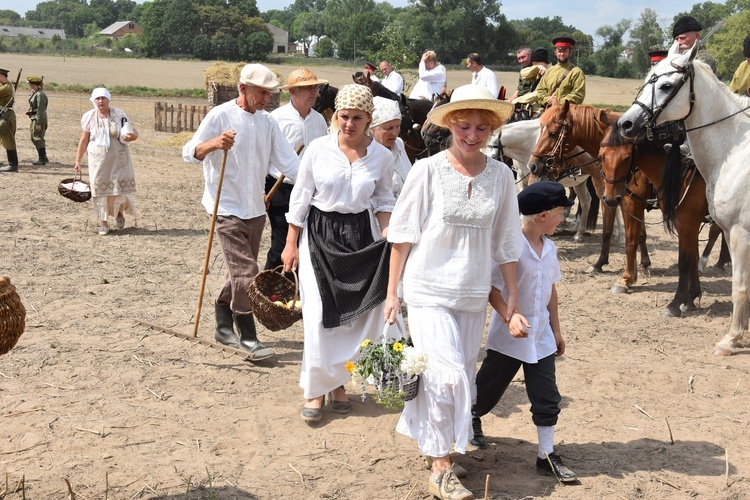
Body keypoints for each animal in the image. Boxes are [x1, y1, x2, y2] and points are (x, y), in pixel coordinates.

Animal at [620, 43, 750, 356]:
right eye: (647, 79)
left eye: (667, 86)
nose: (626, 123)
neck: (733, 152)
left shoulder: (739, 232)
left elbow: (739, 285)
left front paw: (732, 339)